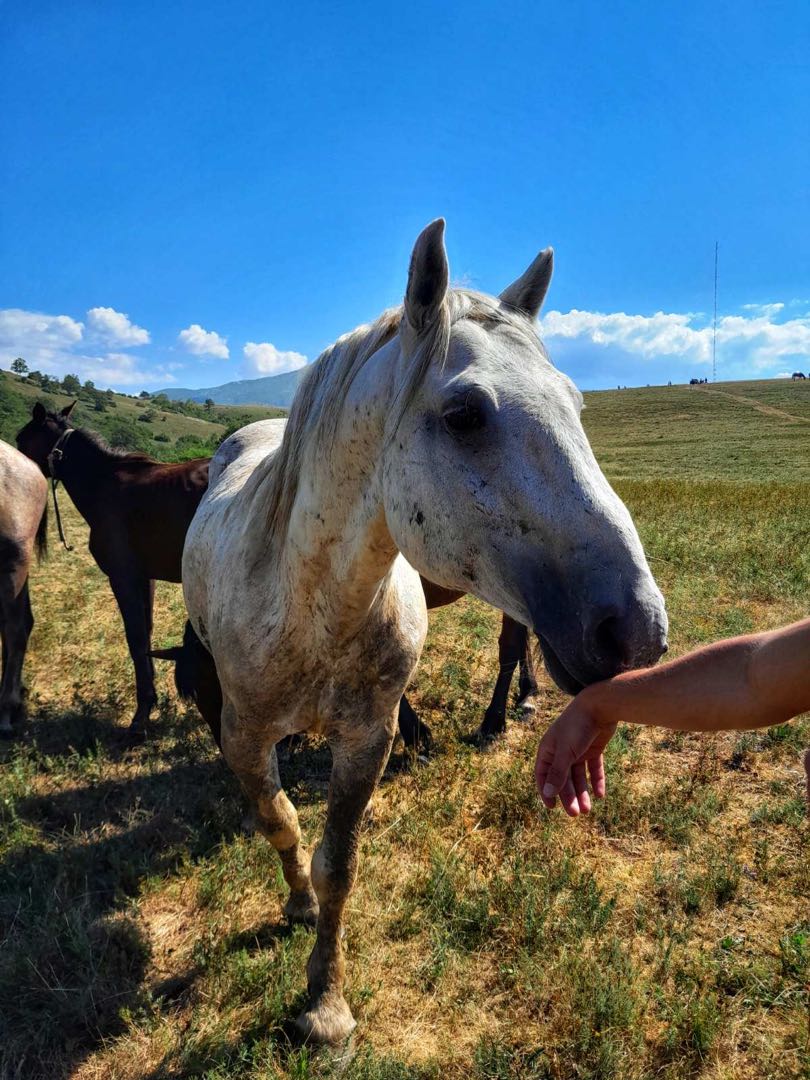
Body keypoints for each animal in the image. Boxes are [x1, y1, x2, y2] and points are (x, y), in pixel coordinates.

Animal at [15, 403, 210, 733]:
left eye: (20, 440)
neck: (103, 483)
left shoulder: (123, 577)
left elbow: (136, 640)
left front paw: (141, 715)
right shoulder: (144, 578)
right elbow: (145, 634)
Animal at [179, 220, 669, 1044]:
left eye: (576, 404)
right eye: (465, 414)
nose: (636, 630)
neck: (308, 606)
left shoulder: (365, 740)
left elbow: (338, 864)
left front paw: (326, 1001)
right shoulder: (241, 736)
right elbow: (280, 824)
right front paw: (296, 910)